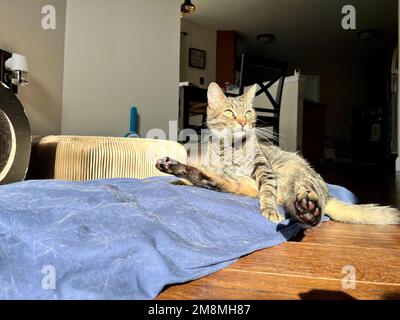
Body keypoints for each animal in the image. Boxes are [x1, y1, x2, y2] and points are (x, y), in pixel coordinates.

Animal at [155, 83, 398, 228]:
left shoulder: (263, 169)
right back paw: (171, 167)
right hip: (236, 183)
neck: (231, 149)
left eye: (248, 113)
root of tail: (327, 195)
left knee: (312, 211)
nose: (243, 122)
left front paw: (270, 210)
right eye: (230, 113)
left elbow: (268, 193)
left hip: (298, 179)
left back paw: (308, 211)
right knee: (209, 179)